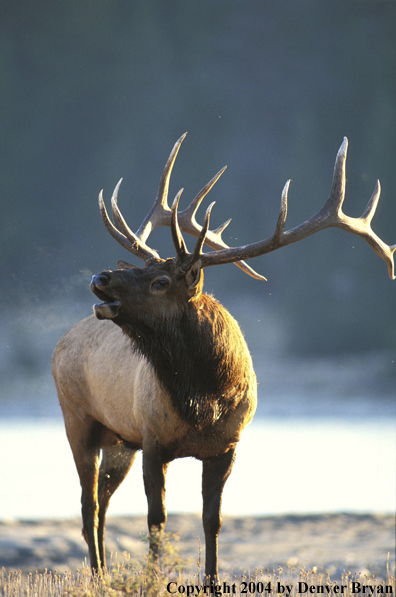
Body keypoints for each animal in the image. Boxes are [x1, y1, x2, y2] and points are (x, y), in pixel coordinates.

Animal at [52, 134, 396, 576]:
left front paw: (212, 579)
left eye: (161, 281)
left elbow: (211, 521)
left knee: (101, 505)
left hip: (118, 441)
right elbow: (156, 521)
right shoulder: (153, 441)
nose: (101, 277)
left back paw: (105, 574)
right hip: (78, 420)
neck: (205, 399)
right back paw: (98, 577)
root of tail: (62, 341)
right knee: (88, 504)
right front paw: (152, 578)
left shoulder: (225, 447)